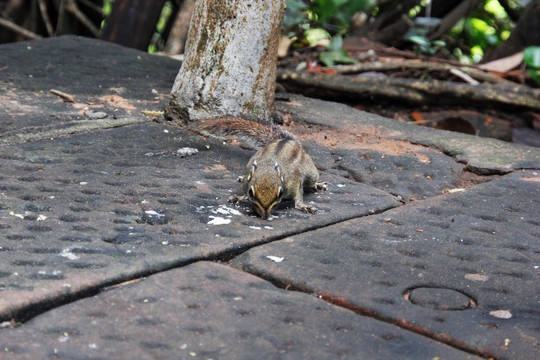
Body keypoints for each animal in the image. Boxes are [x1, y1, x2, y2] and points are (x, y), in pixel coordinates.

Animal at [196, 116, 326, 219]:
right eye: (251, 192)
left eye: (280, 193)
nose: (265, 215)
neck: (269, 166)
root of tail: (286, 140)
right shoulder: (248, 178)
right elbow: (244, 190)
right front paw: (240, 197)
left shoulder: (293, 183)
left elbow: (298, 196)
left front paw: (303, 206)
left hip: (311, 172)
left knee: (311, 181)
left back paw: (317, 184)